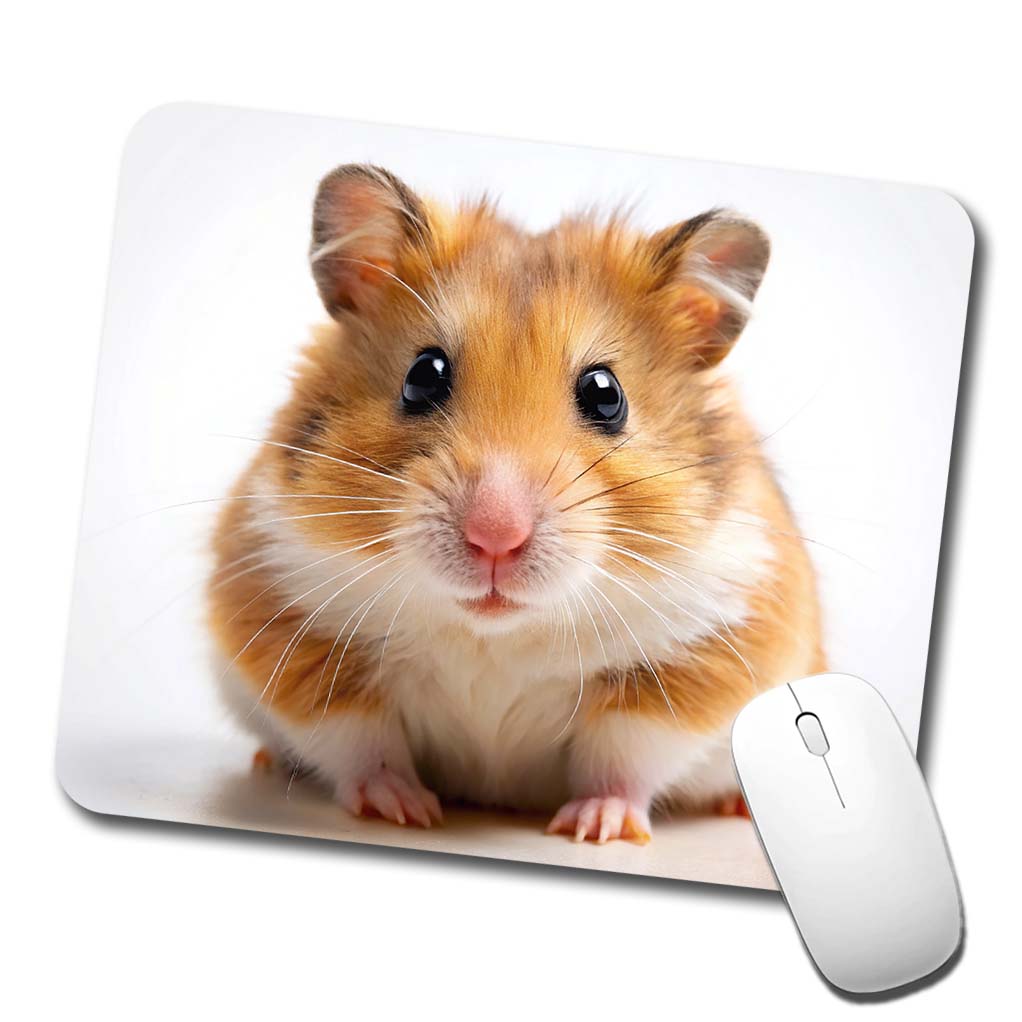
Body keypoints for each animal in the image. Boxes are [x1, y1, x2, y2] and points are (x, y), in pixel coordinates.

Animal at [207, 163, 824, 843]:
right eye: (423, 375)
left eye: (607, 395)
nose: (494, 538)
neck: (497, 632)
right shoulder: (289, 615)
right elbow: (361, 741)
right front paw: (403, 810)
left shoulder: (702, 654)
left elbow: (624, 754)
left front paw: (594, 828)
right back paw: (267, 764)